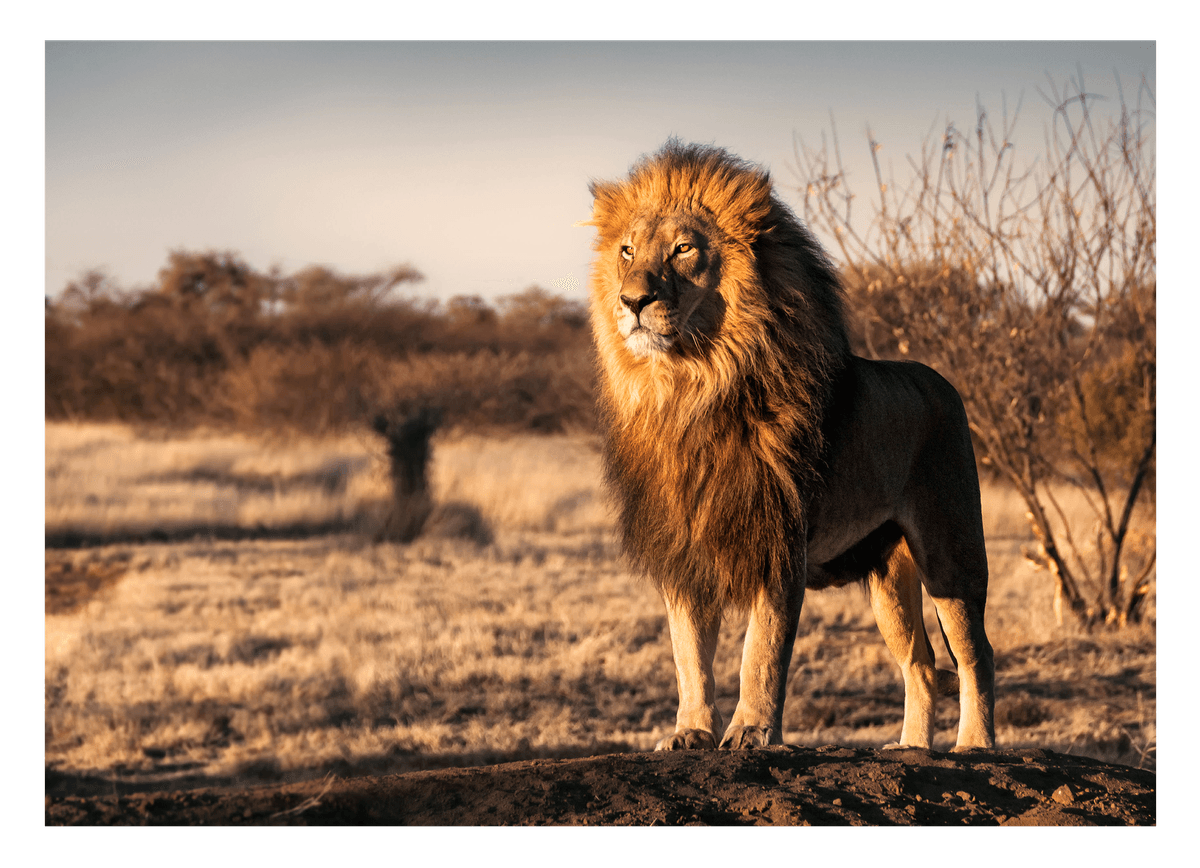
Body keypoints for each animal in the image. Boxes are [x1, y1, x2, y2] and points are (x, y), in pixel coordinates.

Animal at [585, 141, 995, 752]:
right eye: (627, 251)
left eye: (683, 249)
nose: (632, 300)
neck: (690, 389)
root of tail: (942, 381)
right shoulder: (683, 547)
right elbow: (689, 654)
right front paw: (690, 732)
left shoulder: (779, 539)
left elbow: (762, 649)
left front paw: (752, 732)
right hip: (889, 580)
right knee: (920, 666)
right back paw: (911, 749)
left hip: (952, 554)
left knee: (976, 654)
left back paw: (974, 746)